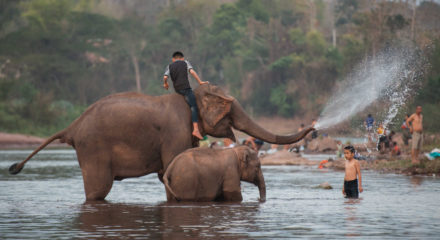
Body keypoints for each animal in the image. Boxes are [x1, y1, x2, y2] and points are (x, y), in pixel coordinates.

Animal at [9, 84, 312, 201]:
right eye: (231, 113)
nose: (312, 126)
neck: (191, 95)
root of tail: (72, 125)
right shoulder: (175, 130)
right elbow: (168, 167)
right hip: (93, 147)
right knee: (98, 190)